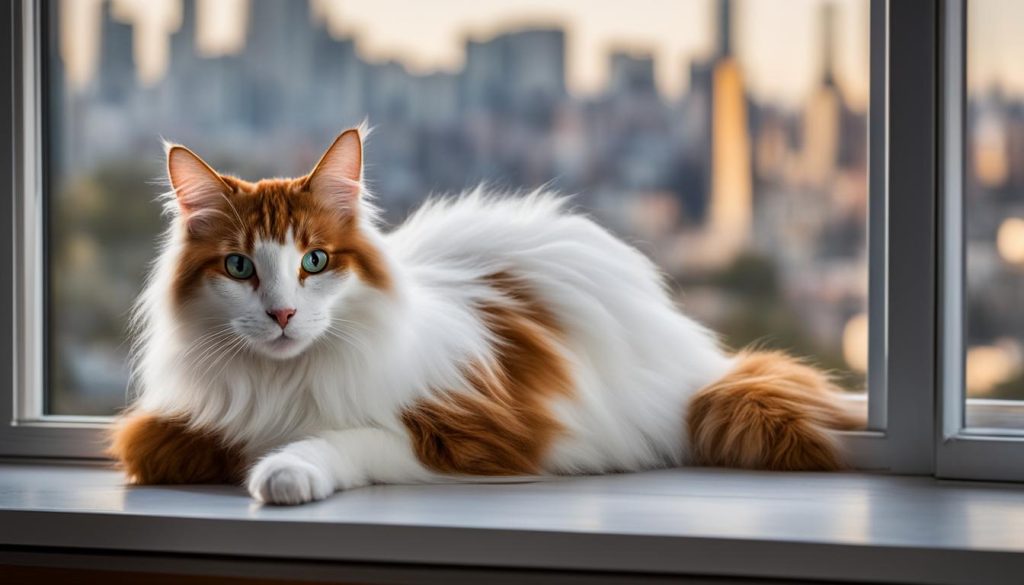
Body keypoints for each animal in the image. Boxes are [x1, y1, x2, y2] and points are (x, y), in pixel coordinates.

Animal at [110, 126, 864, 506]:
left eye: (315, 261)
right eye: (240, 268)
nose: (283, 313)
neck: (284, 382)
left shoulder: (472, 436)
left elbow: (343, 439)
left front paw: (283, 471)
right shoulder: (169, 424)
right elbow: (165, 444)